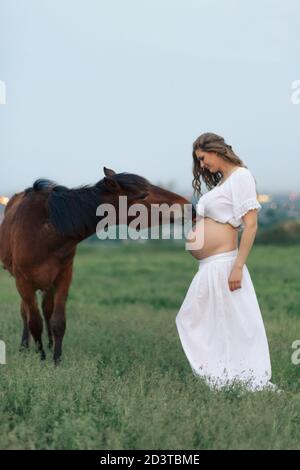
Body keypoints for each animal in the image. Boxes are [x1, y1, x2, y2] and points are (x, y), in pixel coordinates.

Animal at [0, 167, 195, 366]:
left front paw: (56, 360)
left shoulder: (64, 277)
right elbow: (34, 322)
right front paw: (41, 358)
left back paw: (48, 343)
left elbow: (58, 321)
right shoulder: (24, 282)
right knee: (26, 313)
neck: (45, 231)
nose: (189, 207)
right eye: (143, 195)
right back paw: (25, 346)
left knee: (46, 310)